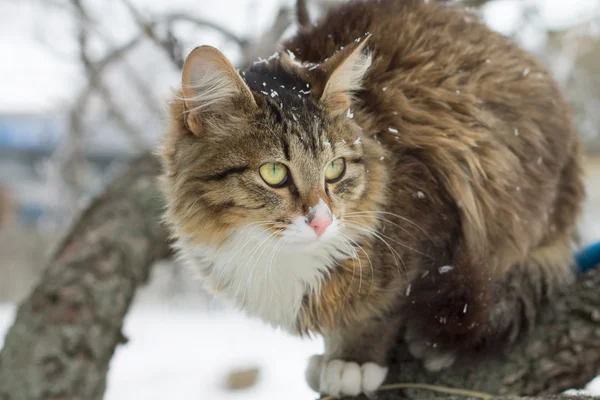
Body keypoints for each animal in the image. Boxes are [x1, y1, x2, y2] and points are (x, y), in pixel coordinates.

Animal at [157, 0, 584, 396]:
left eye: (335, 169)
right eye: (274, 173)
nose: (322, 221)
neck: (271, 252)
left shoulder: (431, 208)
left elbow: (382, 307)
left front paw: (353, 361)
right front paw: (331, 355)